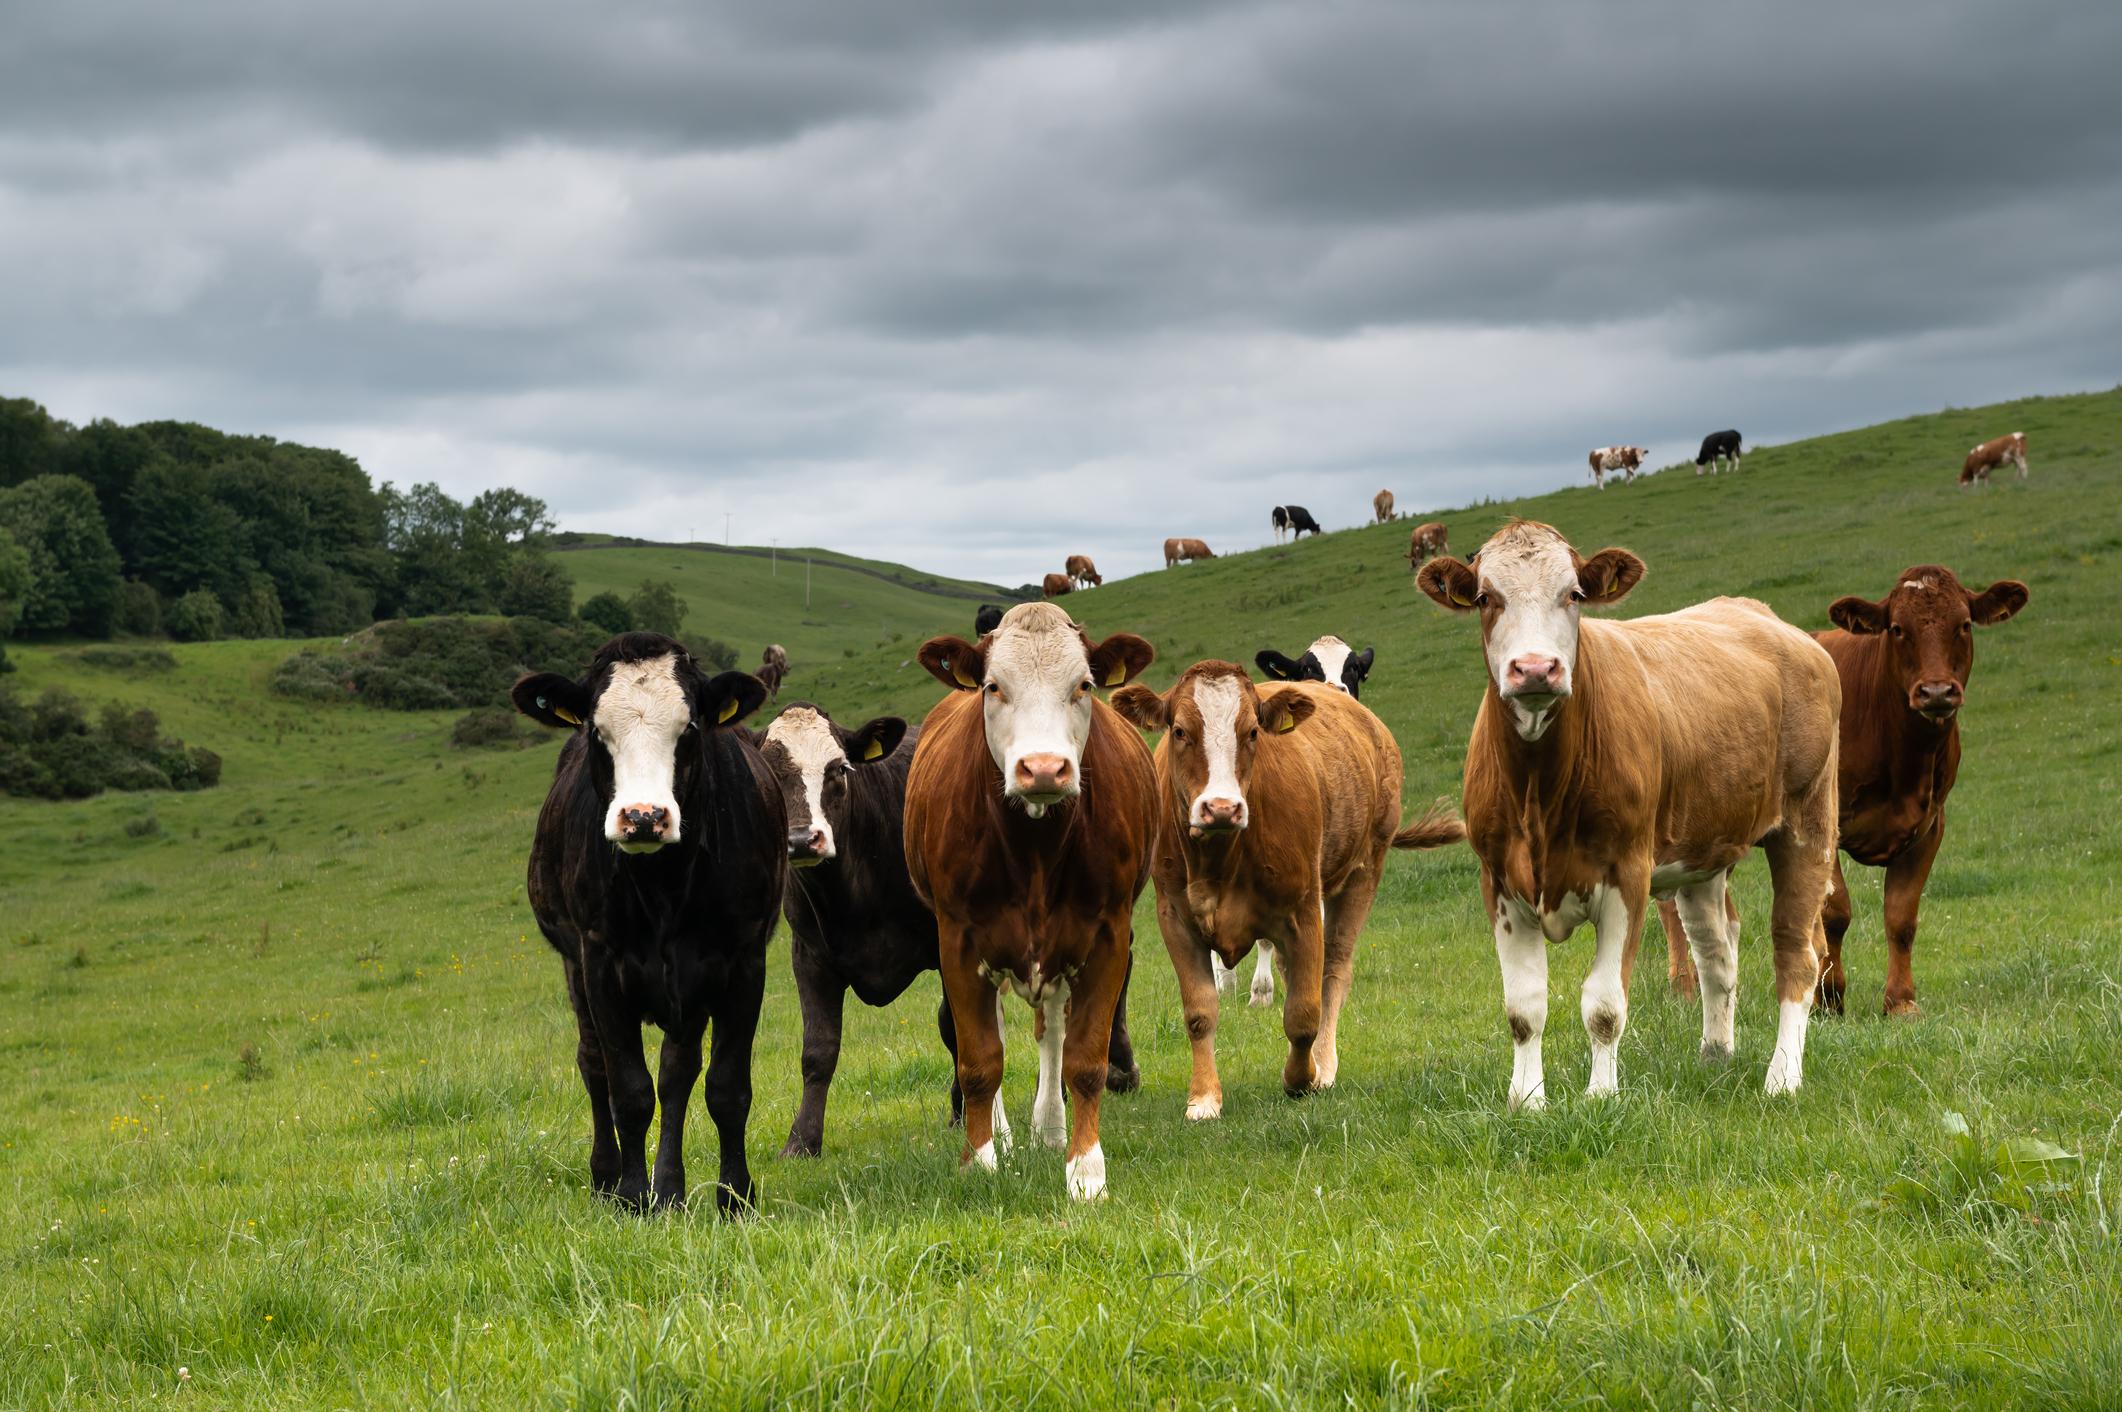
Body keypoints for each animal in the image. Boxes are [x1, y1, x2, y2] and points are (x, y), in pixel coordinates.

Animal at [512, 632, 782, 1213]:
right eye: (597, 731)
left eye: (690, 728)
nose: (642, 817)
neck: (664, 886)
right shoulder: (599, 961)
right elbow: (628, 1089)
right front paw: (633, 1196)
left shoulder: (742, 962)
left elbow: (725, 1087)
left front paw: (734, 1197)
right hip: (574, 968)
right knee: (593, 1065)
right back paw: (607, 1177)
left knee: (678, 1075)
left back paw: (672, 1188)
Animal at [904, 603, 1158, 1200]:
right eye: (994, 686)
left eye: (1084, 685)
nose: (1043, 768)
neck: (1035, 851)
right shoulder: (958, 939)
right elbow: (979, 1060)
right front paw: (980, 1160)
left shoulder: (1108, 935)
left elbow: (1084, 1060)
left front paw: (1085, 1169)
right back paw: (1001, 1133)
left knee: (1053, 1033)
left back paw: (1049, 1128)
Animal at [1113, 665, 1462, 1116]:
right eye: (1179, 730)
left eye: (1252, 731)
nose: (1222, 808)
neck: (1220, 859)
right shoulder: (1175, 918)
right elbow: (1199, 1012)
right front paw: (1204, 1097)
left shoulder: (1304, 911)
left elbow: (1303, 1013)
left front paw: (1303, 1077)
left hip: (1363, 872)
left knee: (1333, 971)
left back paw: (1324, 1065)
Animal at [1416, 520, 1840, 1105]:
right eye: (1485, 597)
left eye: (1574, 594)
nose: (1534, 668)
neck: (1539, 792)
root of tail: (1768, 619)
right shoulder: (1498, 880)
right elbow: (1524, 1009)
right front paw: (1527, 1101)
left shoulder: (1627, 874)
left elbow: (1603, 1005)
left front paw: (1600, 1096)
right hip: (1702, 852)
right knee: (1717, 951)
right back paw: (1715, 1054)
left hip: (1807, 821)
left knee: (1796, 950)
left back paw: (1783, 1077)